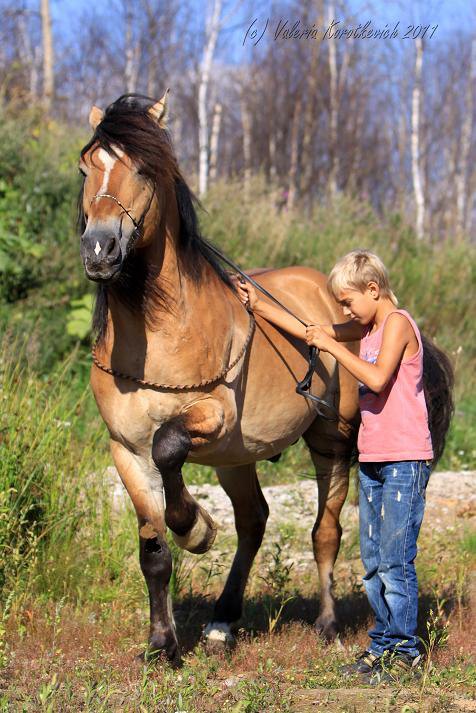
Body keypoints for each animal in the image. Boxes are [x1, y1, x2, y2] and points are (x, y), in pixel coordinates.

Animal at [79, 93, 454, 660]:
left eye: (142, 168)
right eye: (86, 166)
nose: (100, 249)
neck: (164, 334)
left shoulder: (209, 416)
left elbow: (170, 450)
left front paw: (197, 529)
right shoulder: (125, 447)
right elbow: (154, 550)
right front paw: (162, 644)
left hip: (328, 440)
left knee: (326, 531)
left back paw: (325, 623)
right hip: (237, 456)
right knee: (254, 520)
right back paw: (221, 623)